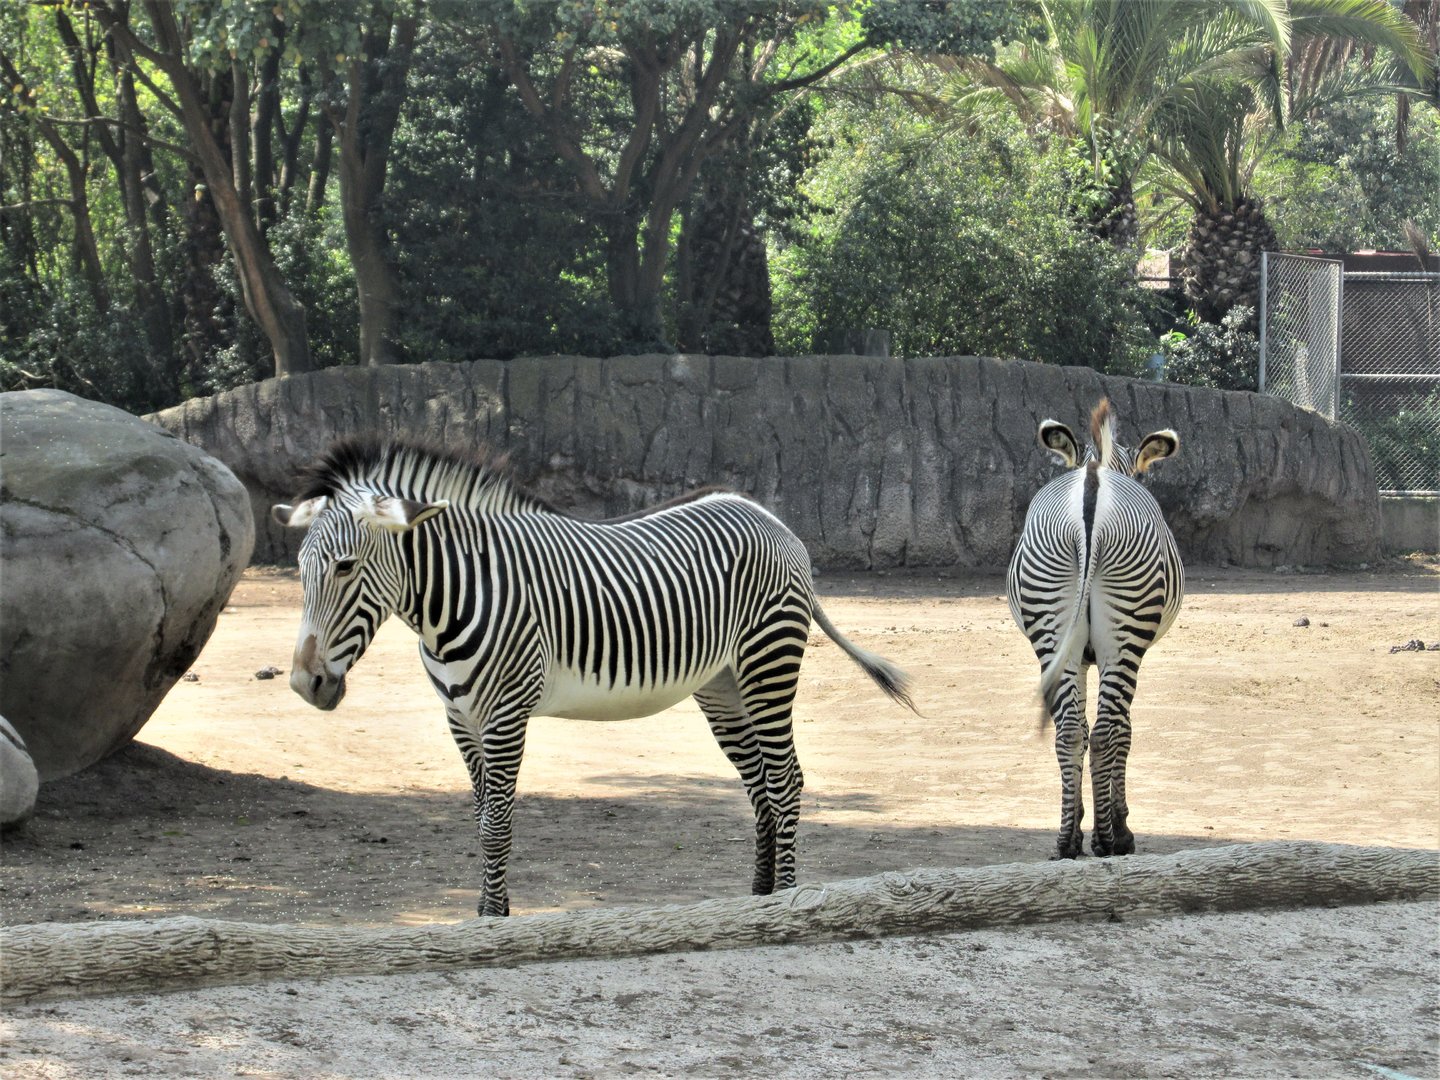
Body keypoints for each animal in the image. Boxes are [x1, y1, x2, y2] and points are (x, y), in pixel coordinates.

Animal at [272, 438, 915, 916]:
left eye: (345, 566)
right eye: (300, 568)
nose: (305, 685)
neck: (455, 598)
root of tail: (767, 516)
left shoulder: (505, 713)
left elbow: (496, 823)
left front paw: (493, 920)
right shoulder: (459, 716)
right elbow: (480, 817)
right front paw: (484, 913)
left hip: (768, 663)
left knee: (785, 781)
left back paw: (784, 901)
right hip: (724, 686)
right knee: (759, 785)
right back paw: (755, 901)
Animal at [1007, 399, 1184, 861]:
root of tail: (1092, 483)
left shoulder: (1079, 654)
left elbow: (1080, 728)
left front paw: (1081, 821)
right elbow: (1124, 731)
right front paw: (1118, 824)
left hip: (1052, 624)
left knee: (1070, 731)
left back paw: (1067, 840)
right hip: (1124, 635)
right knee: (1109, 732)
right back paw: (1110, 838)